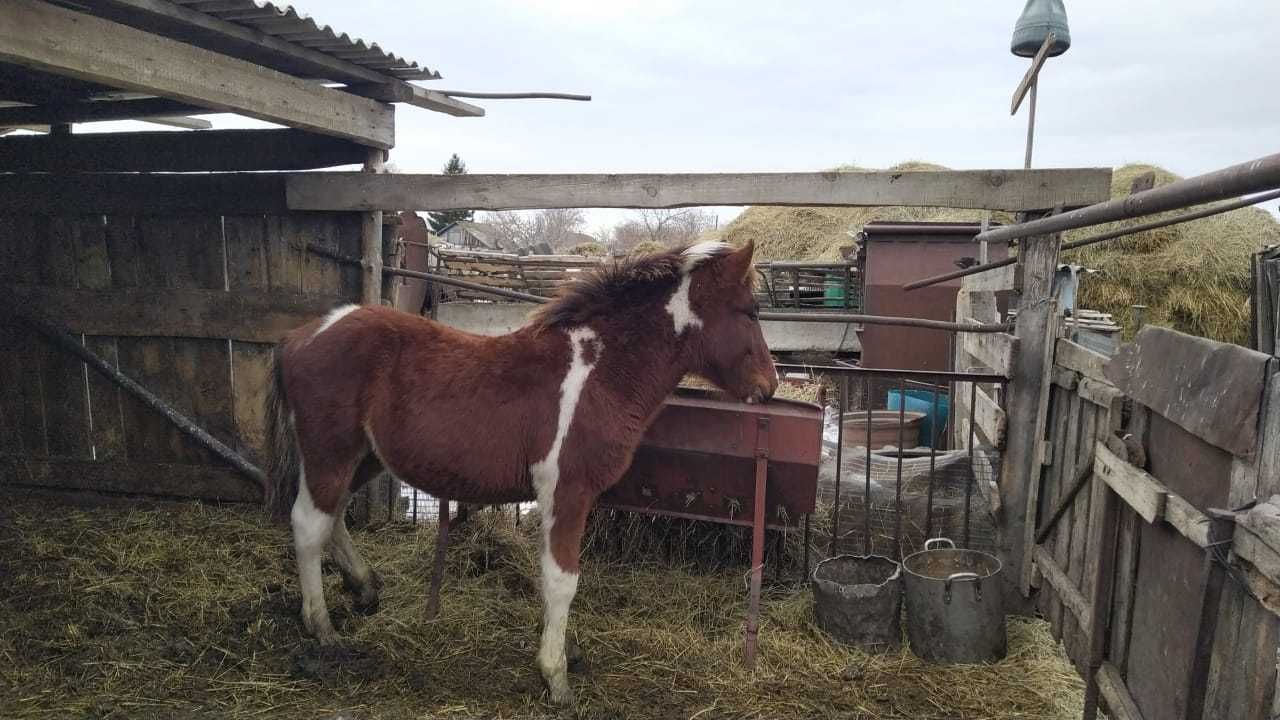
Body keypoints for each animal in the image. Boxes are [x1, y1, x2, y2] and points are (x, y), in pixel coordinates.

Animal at [264, 239, 773, 702]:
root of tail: (299, 336)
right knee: (308, 523)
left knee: (333, 516)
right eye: (749, 312)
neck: (597, 373)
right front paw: (556, 678)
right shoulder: (568, 492)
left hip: (364, 458)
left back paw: (365, 589)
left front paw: (563, 652)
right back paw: (322, 627)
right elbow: (562, 580)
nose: (768, 386)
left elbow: (550, 580)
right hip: (330, 451)